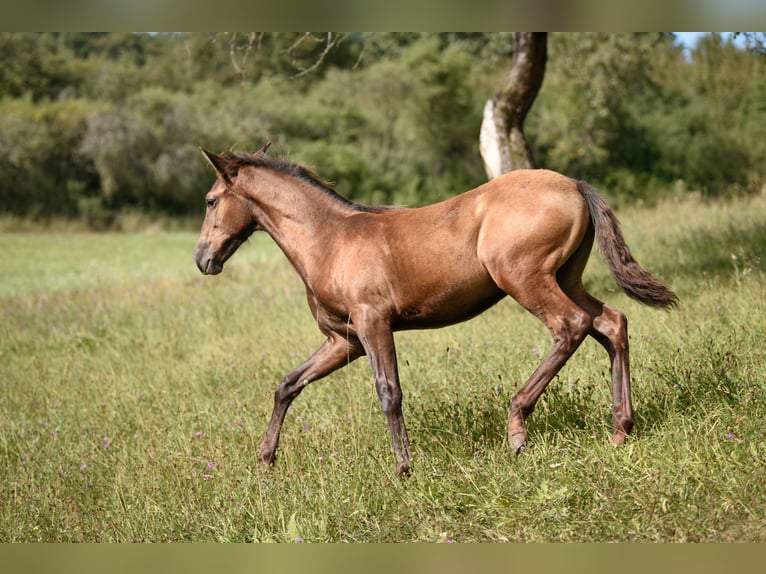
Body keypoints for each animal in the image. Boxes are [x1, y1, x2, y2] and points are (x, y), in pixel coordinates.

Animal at [194, 145, 680, 476]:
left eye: (210, 200)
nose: (203, 259)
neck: (330, 240)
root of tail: (572, 184)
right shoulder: (343, 340)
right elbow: (288, 384)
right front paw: (265, 460)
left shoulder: (373, 324)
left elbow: (389, 392)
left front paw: (404, 469)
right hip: (567, 278)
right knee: (612, 323)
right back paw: (620, 429)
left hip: (526, 279)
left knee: (571, 326)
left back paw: (517, 426)